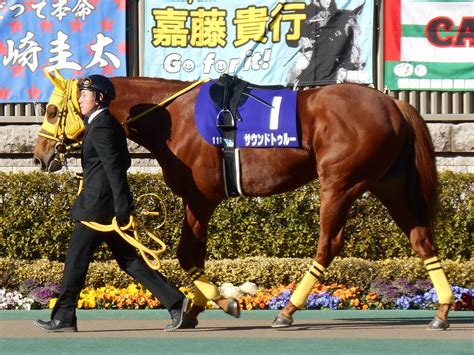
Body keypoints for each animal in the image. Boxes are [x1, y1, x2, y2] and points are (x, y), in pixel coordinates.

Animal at [32, 72, 452, 330]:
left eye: (51, 109)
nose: (39, 157)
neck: (173, 116)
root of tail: (393, 103)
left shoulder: (199, 198)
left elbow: (187, 255)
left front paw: (217, 302)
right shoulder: (199, 200)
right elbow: (192, 257)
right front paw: (194, 307)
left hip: (340, 182)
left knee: (328, 244)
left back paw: (287, 310)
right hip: (388, 182)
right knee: (421, 237)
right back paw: (443, 309)